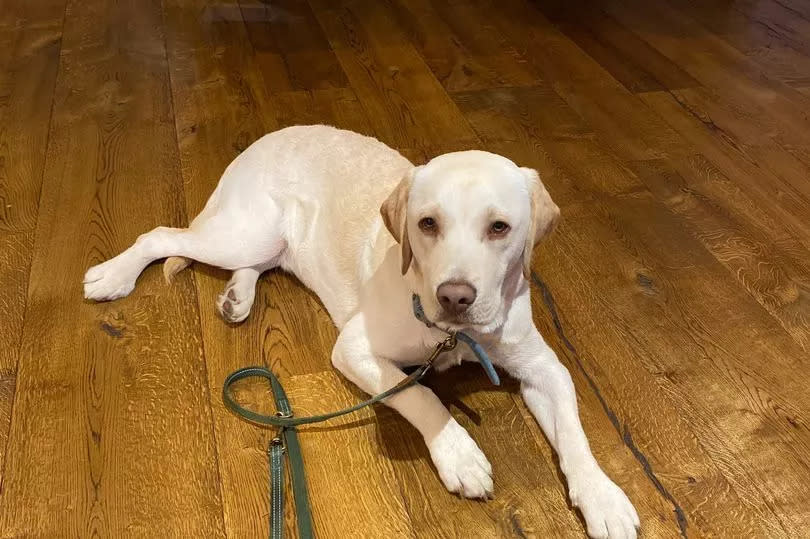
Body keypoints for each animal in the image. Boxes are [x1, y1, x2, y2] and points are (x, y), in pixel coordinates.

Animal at [82, 125, 636, 536]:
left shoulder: (545, 368)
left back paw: (238, 296)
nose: (454, 297)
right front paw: (459, 454)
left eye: (499, 227)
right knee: (161, 236)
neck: (453, 336)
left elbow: (575, 435)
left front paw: (604, 497)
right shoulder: (354, 348)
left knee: (253, 262)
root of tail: (263, 140)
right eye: (427, 224)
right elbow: (418, 395)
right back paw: (113, 274)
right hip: (243, 232)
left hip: (263, 242)